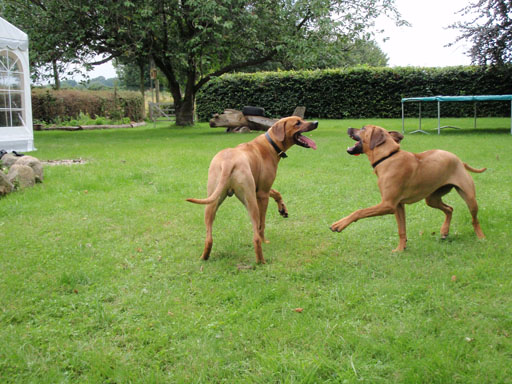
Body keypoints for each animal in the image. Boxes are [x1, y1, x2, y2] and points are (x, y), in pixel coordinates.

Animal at [186, 115, 318, 262]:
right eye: (297, 123)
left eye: (302, 120)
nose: (316, 122)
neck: (271, 143)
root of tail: (228, 162)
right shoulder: (262, 194)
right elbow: (262, 224)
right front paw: (265, 240)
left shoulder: (260, 189)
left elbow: (276, 192)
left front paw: (283, 209)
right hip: (250, 202)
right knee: (256, 235)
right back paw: (261, 261)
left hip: (212, 200)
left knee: (209, 237)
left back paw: (204, 256)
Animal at [330, 125, 486, 252]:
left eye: (363, 128)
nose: (349, 127)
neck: (388, 157)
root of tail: (459, 161)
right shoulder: (398, 206)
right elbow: (401, 229)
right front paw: (400, 249)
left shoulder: (388, 204)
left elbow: (359, 211)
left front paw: (339, 224)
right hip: (431, 198)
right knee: (449, 209)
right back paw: (444, 231)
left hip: (469, 198)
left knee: (474, 219)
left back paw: (481, 236)